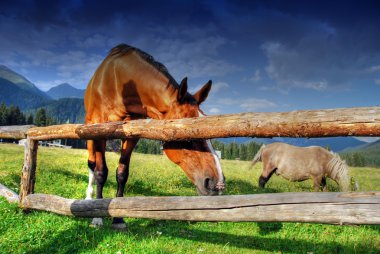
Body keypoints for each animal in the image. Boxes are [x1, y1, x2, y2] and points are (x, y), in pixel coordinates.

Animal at [84, 43, 224, 228]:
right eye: (187, 135)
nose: (217, 185)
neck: (118, 83)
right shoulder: (100, 132)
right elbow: (101, 172)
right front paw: (97, 217)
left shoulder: (132, 135)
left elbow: (122, 173)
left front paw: (118, 219)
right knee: (92, 164)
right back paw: (88, 199)